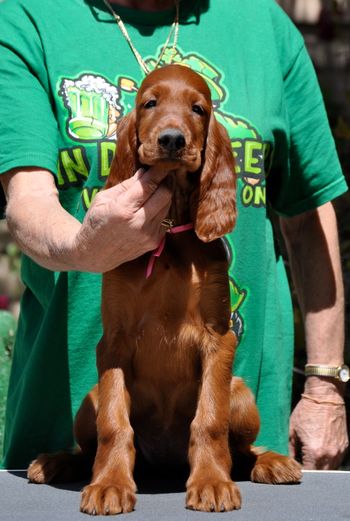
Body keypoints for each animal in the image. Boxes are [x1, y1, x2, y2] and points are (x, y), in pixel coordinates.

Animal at [28, 64, 300, 512]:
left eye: (199, 109)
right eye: (149, 103)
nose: (172, 139)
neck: (170, 231)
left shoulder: (218, 340)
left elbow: (209, 420)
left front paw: (212, 482)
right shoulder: (114, 343)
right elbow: (114, 424)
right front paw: (109, 484)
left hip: (242, 394)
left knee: (241, 451)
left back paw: (272, 462)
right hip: (88, 400)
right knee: (88, 446)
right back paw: (55, 462)